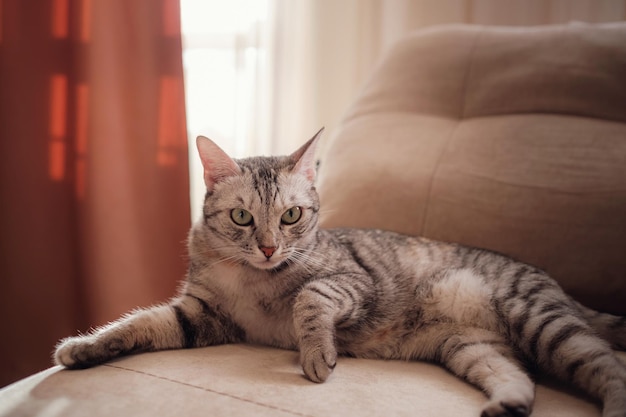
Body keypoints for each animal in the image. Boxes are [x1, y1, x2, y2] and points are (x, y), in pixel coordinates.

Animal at [54, 130, 624, 416]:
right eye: (242, 217)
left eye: (291, 216)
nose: (268, 248)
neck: (253, 279)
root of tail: (559, 288)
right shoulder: (202, 314)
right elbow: (138, 322)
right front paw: (82, 348)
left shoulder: (352, 280)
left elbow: (311, 297)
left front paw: (316, 352)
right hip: (473, 347)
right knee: (519, 379)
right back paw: (507, 405)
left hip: (540, 320)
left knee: (610, 367)